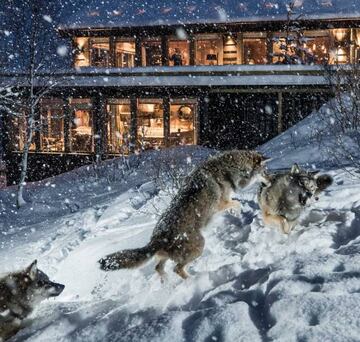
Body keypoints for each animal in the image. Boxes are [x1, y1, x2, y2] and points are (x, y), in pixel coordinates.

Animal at [100, 151, 268, 280]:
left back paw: (166, 283)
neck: (227, 167)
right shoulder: (221, 203)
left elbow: (235, 203)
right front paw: (239, 212)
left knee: (158, 268)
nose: (270, 179)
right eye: (264, 172)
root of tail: (155, 240)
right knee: (177, 269)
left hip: (168, 257)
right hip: (199, 246)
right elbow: (237, 203)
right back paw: (192, 280)